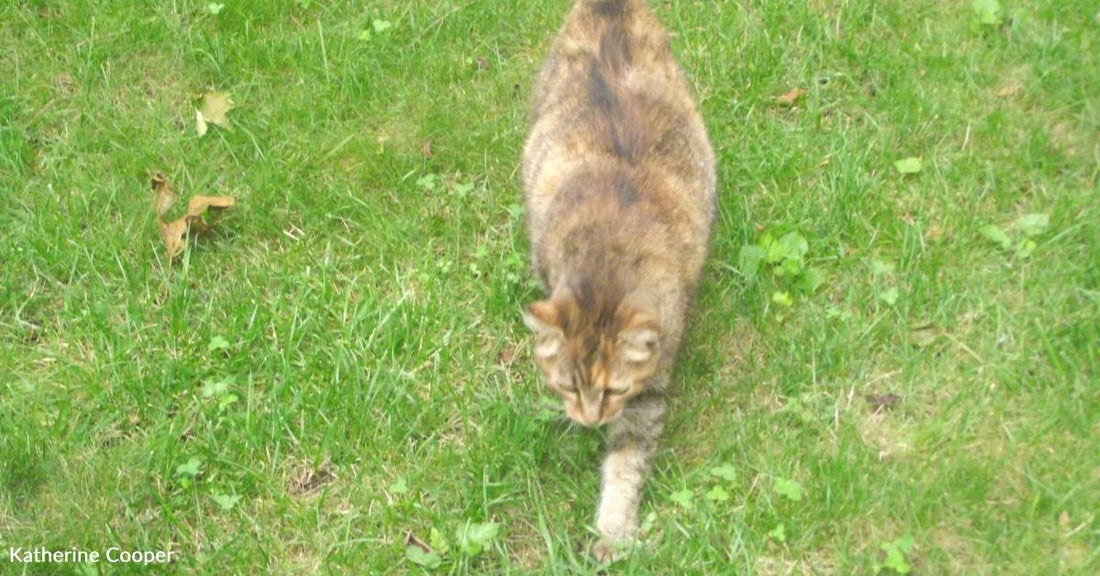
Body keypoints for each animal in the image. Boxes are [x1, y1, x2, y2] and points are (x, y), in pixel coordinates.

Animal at [519, 0, 717, 560]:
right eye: (566, 384)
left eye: (614, 391)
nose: (590, 419)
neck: (606, 268)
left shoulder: (649, 390)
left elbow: (626, 465)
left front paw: (611, 531)